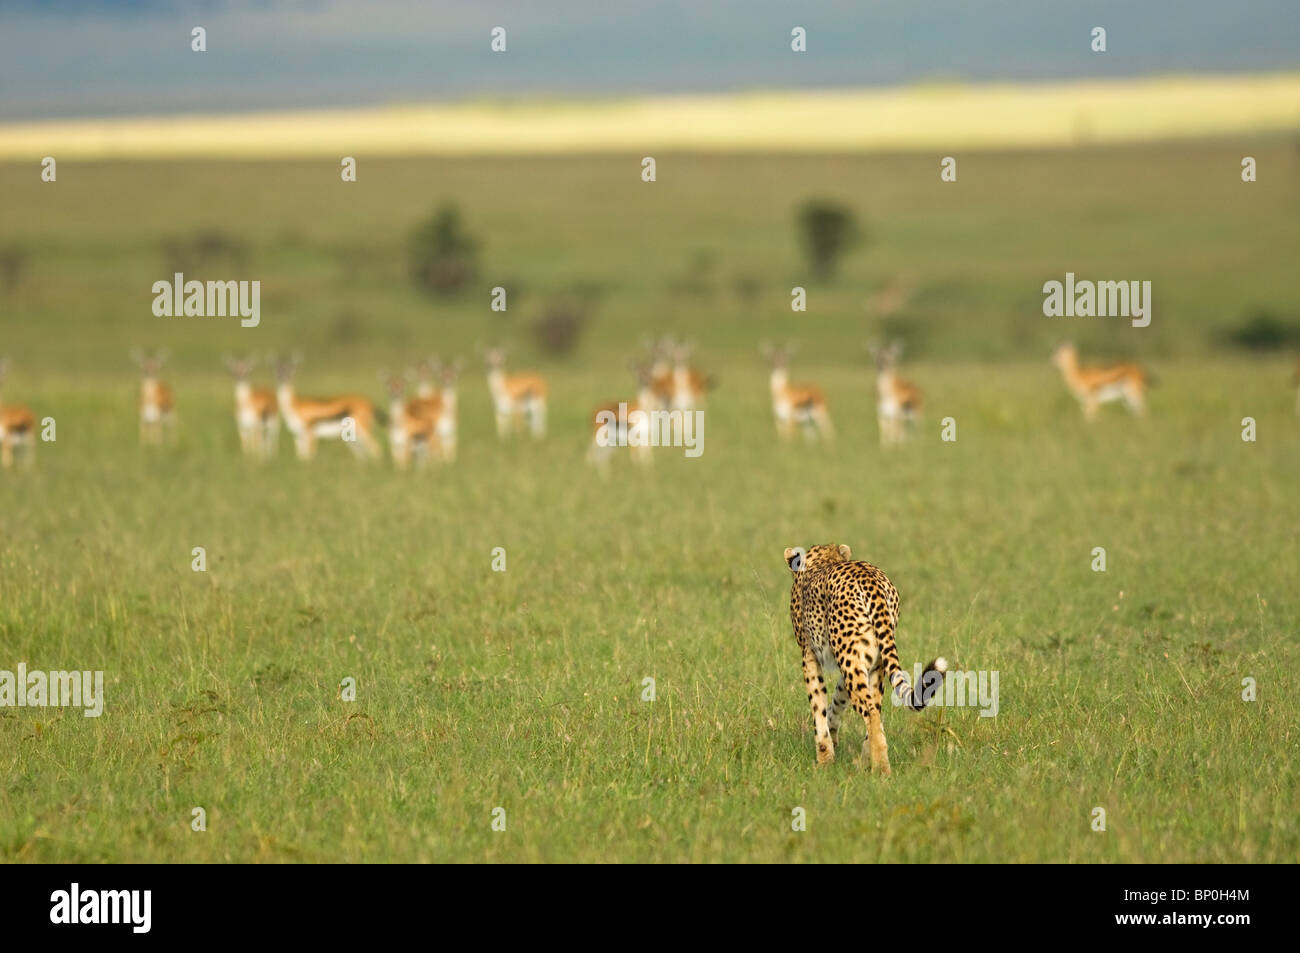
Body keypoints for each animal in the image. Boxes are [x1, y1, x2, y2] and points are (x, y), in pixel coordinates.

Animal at [784, 543, 947, 775]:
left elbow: (818, 704)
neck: (824, 559)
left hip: (852, 660)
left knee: (870, 711)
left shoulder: (810, 655)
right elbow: (837, 699)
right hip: (874, 662)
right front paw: (833, 735)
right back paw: (866, 760)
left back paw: (881, 768)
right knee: (875, 708)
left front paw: (824, 759)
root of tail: (871, 579)